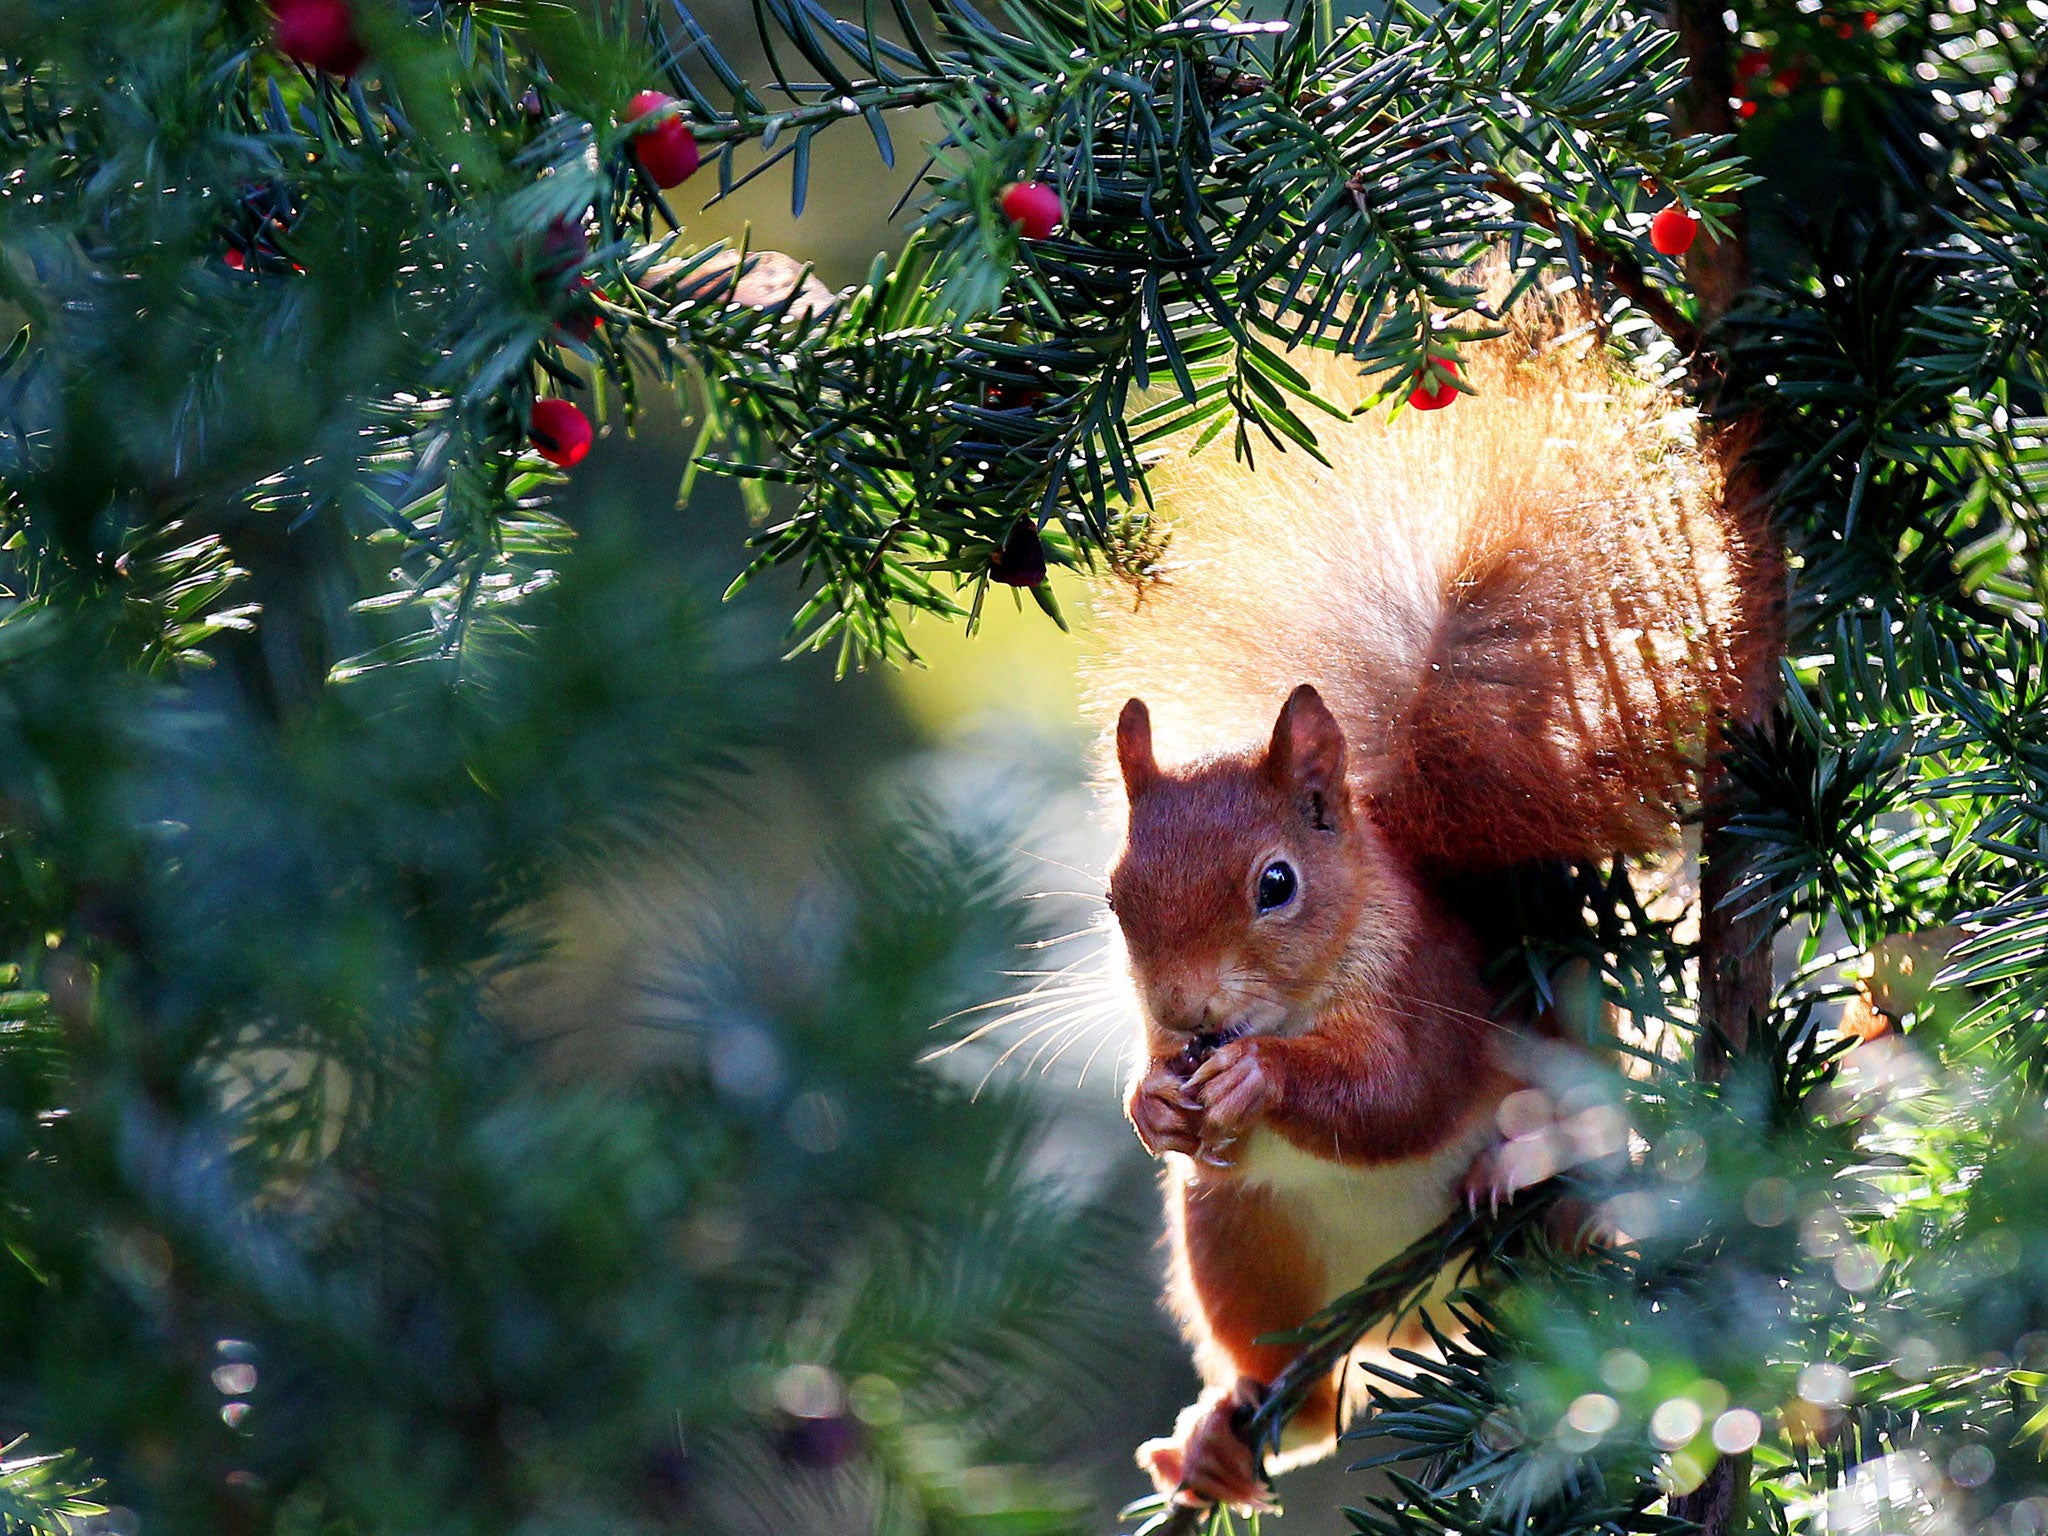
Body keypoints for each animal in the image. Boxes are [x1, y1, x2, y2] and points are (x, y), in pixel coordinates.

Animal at [1089, 301, 1777, 1515]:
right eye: (1115, 896)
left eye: (1276, 884)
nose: (1184, 1015)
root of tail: (1417, 1320)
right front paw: (1152, 1102)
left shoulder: (1431, 990)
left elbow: (1397, 1093)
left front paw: (1258, 1078)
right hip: (1238, 1237)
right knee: (1300, 1398)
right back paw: (1223, 1437)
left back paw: (1531, 1170)